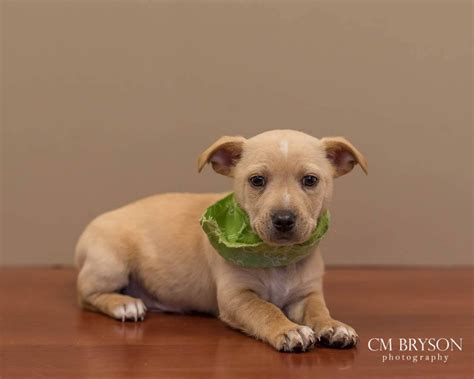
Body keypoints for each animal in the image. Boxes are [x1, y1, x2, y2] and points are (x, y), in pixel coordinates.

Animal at [76, 131, 368, 354]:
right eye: (257, 181)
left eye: (310, 180)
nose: (284, 219)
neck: (277, 257)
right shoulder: (236, 298)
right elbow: (266, 310)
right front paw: (289, 330)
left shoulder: (306, 294)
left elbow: (318, 310)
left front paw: (333, 325)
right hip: (110, 264)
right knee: (87, 295)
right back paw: (123, 304)